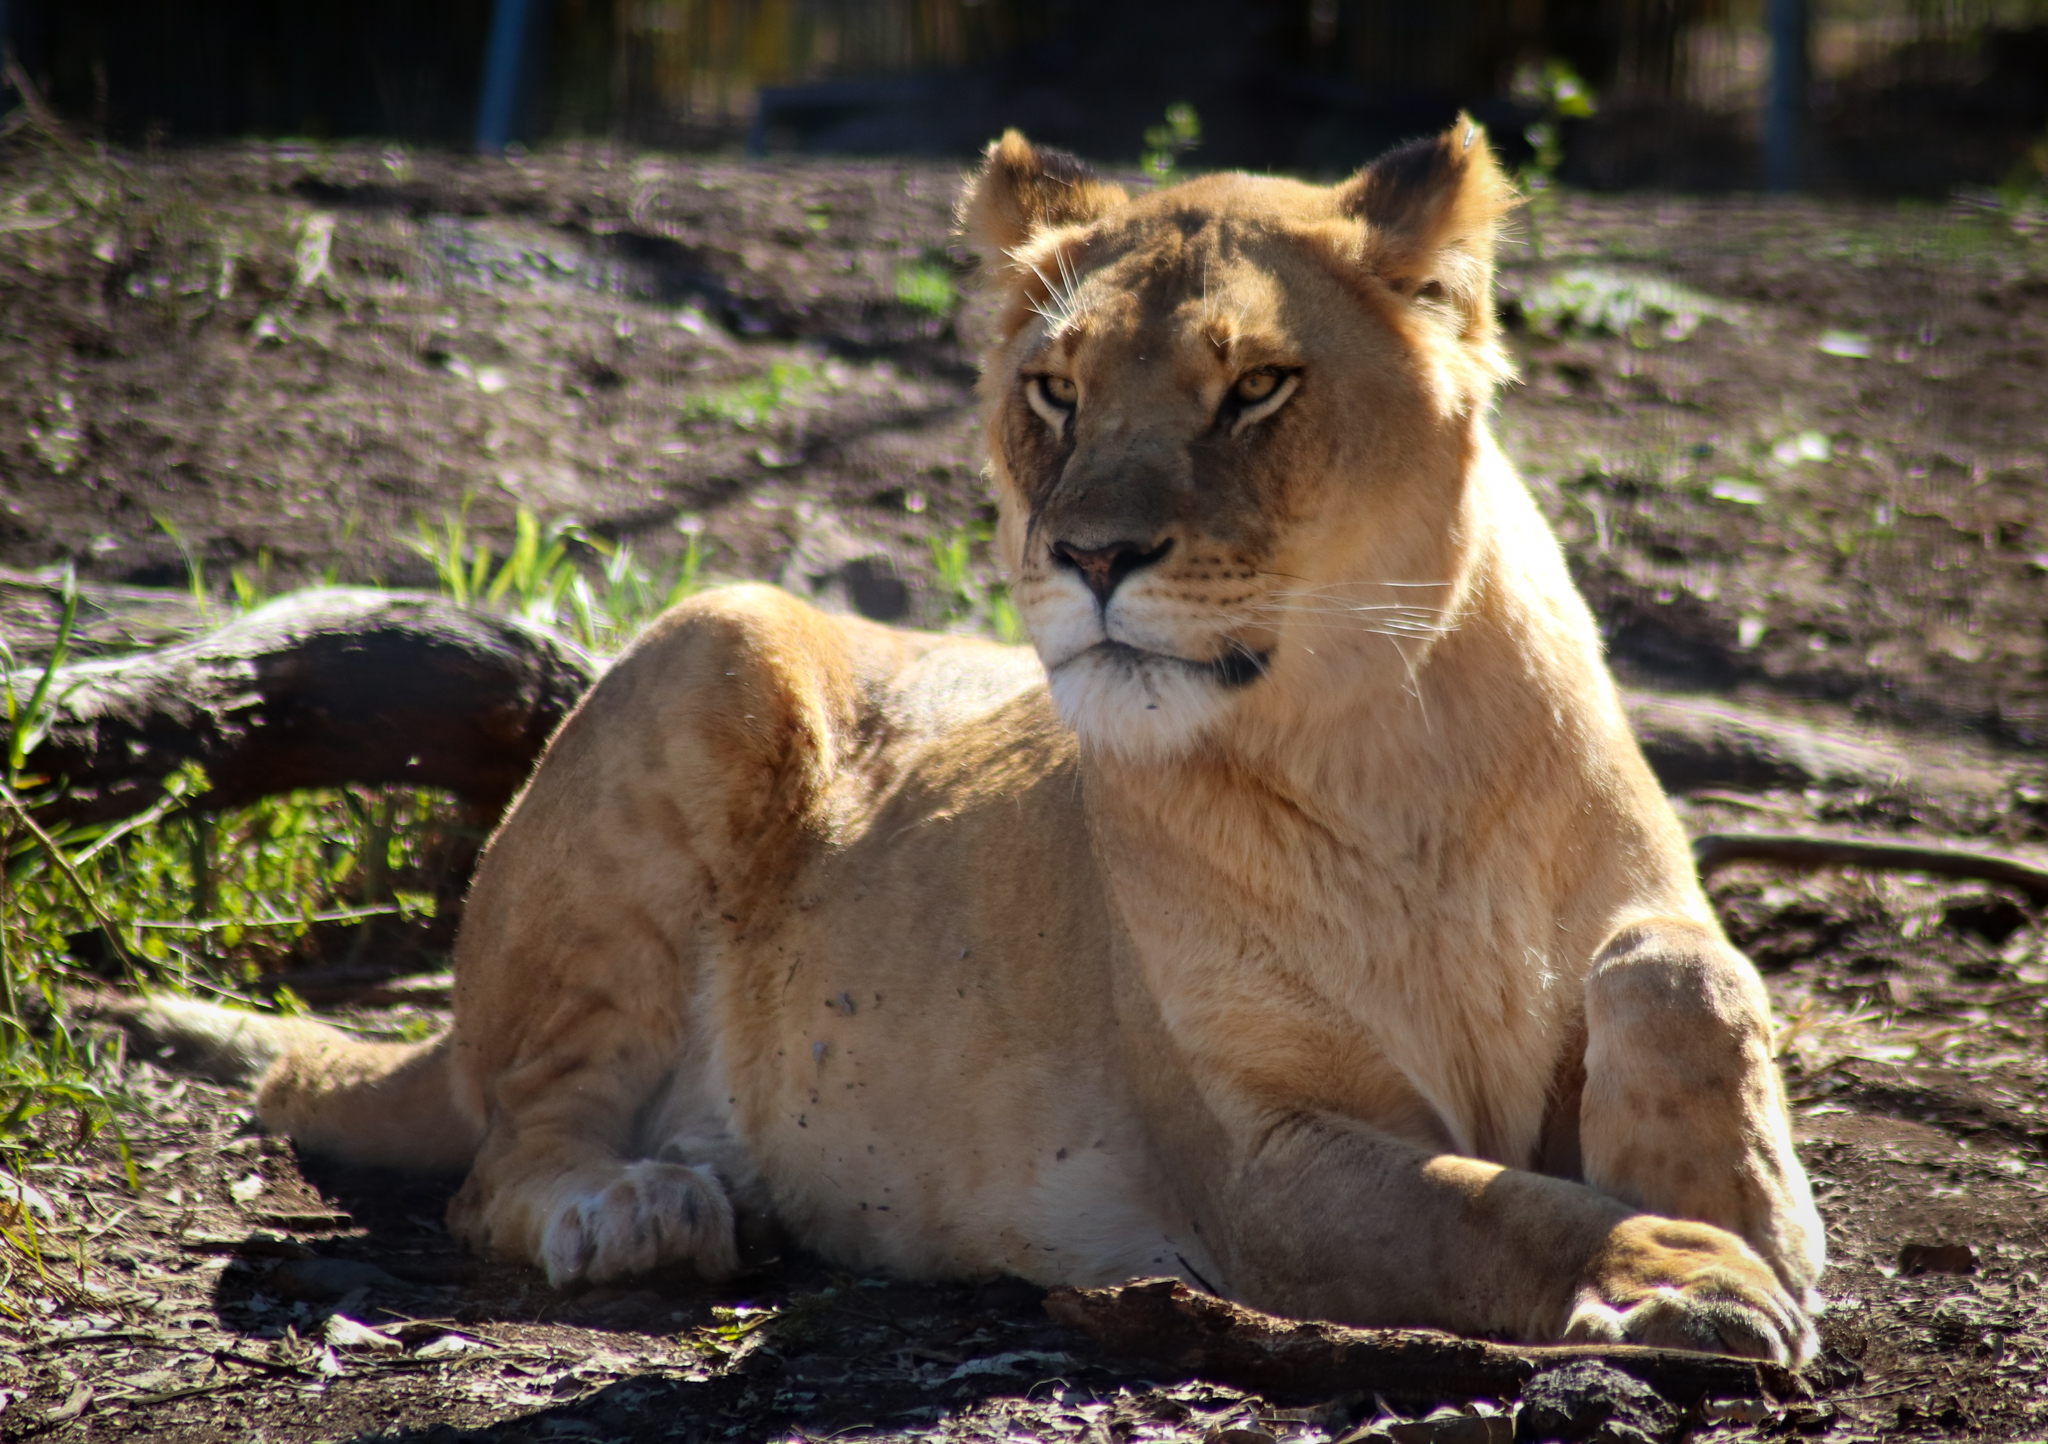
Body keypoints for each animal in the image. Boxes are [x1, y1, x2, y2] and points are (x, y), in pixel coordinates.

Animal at [124, 118, 1823, 1363]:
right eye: (1054, 391)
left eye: (1258, 388)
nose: (1092, 555)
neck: (1390, 746)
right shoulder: (1258, 1159)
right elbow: (1485, 1209)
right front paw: (1683, 1260)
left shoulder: (1636, 906)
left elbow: (1682, 967)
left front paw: (1755, 1201)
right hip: (718, 632)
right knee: (498, 1162)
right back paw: (635, 1207)